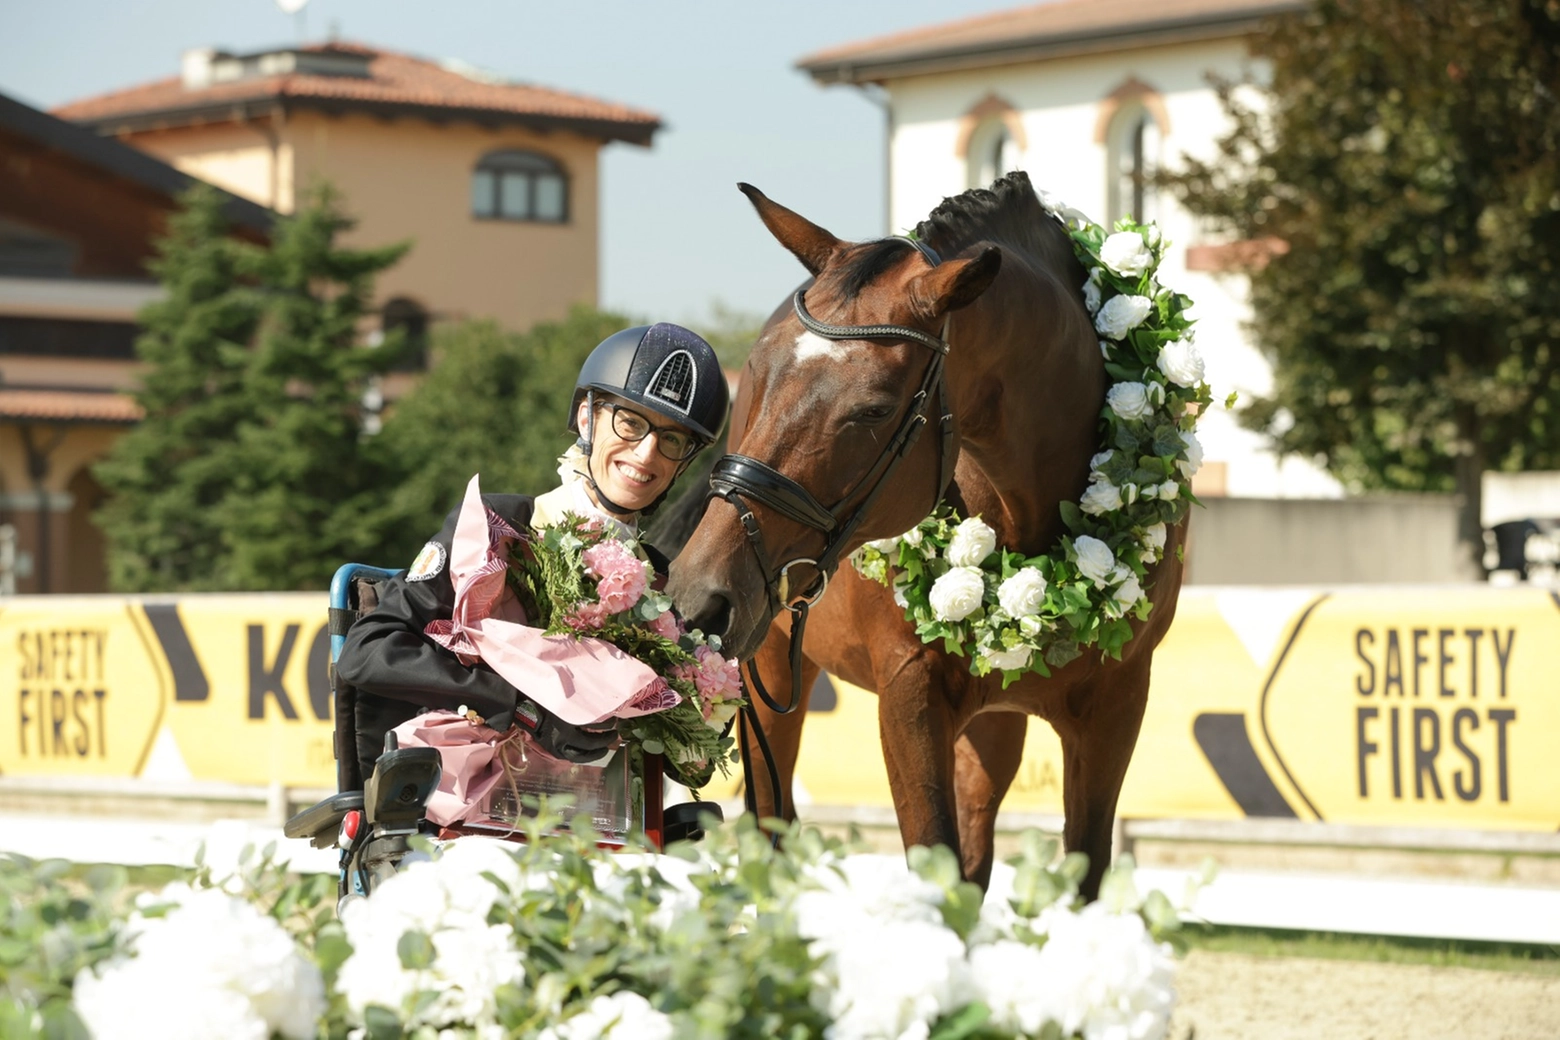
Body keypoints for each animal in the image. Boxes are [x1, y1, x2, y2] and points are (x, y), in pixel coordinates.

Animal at [664, 170, 1185, 898]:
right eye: (757, 373)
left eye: (874, 409)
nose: (698, 595)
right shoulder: (909, 694)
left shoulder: (1117, 704)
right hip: (766, 674)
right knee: (774, 832)